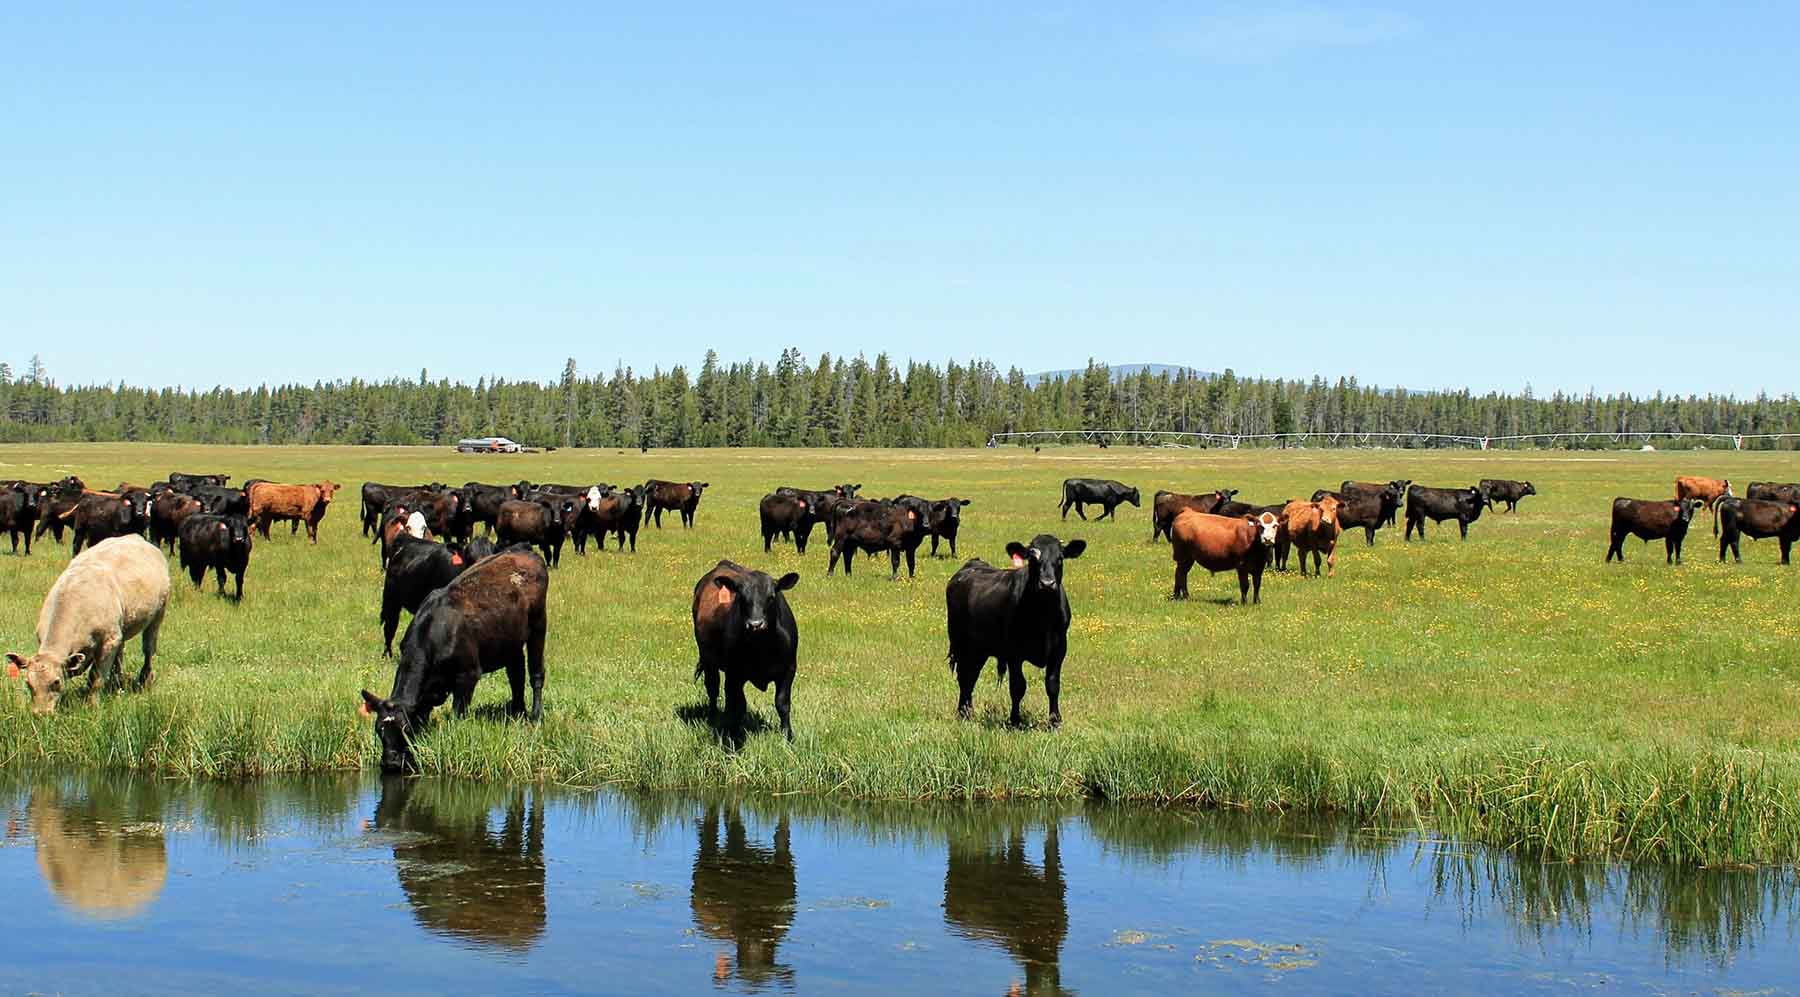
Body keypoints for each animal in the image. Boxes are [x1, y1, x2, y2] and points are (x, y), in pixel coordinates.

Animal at [6, 536, 169, 714]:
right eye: (28, 683)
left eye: (56, 682)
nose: (40, 714)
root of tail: (137, 537)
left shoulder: (108, 641)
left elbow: (96, 678)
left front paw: (92, 705)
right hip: (122, 628)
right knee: (120, 653)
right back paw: (117, 683)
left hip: (158, 614)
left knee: (149, 649)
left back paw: (145, 679)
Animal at [358, 549, 549, 772]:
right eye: (379, 729)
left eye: (405, 729)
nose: (390, 763)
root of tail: (525, 551)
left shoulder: (468, 674)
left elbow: (458, 713)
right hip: (511, 641)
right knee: (516, 674)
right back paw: (517, 713)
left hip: (538, 626)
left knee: (536, 673)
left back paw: (536, 715)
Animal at [692, 560, 801, 741]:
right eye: (742, 597)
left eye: (771, 597)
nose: (755, 624)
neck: (762, 647)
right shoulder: (735, 673)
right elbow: (739, 705)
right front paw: (734, 736)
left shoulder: (789, 669)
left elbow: (782, 703)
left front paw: (788, 735)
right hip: (708, 659)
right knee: (713, 688)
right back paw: (714, 718)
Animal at [944, 533, 1085, 727]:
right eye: (1033, 558)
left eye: (1060, 558)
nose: (1047, 583)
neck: (1044, 615)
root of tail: (972, 564)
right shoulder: (1013, 652)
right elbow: (1018, 686)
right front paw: (1015, 720)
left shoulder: (1059, 649)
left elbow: (1052, 685)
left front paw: (1055, 721)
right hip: (961, 643)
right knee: (964, 676)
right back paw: (963, 713)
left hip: (980, 649)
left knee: (971, 676)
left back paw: (967, 711)